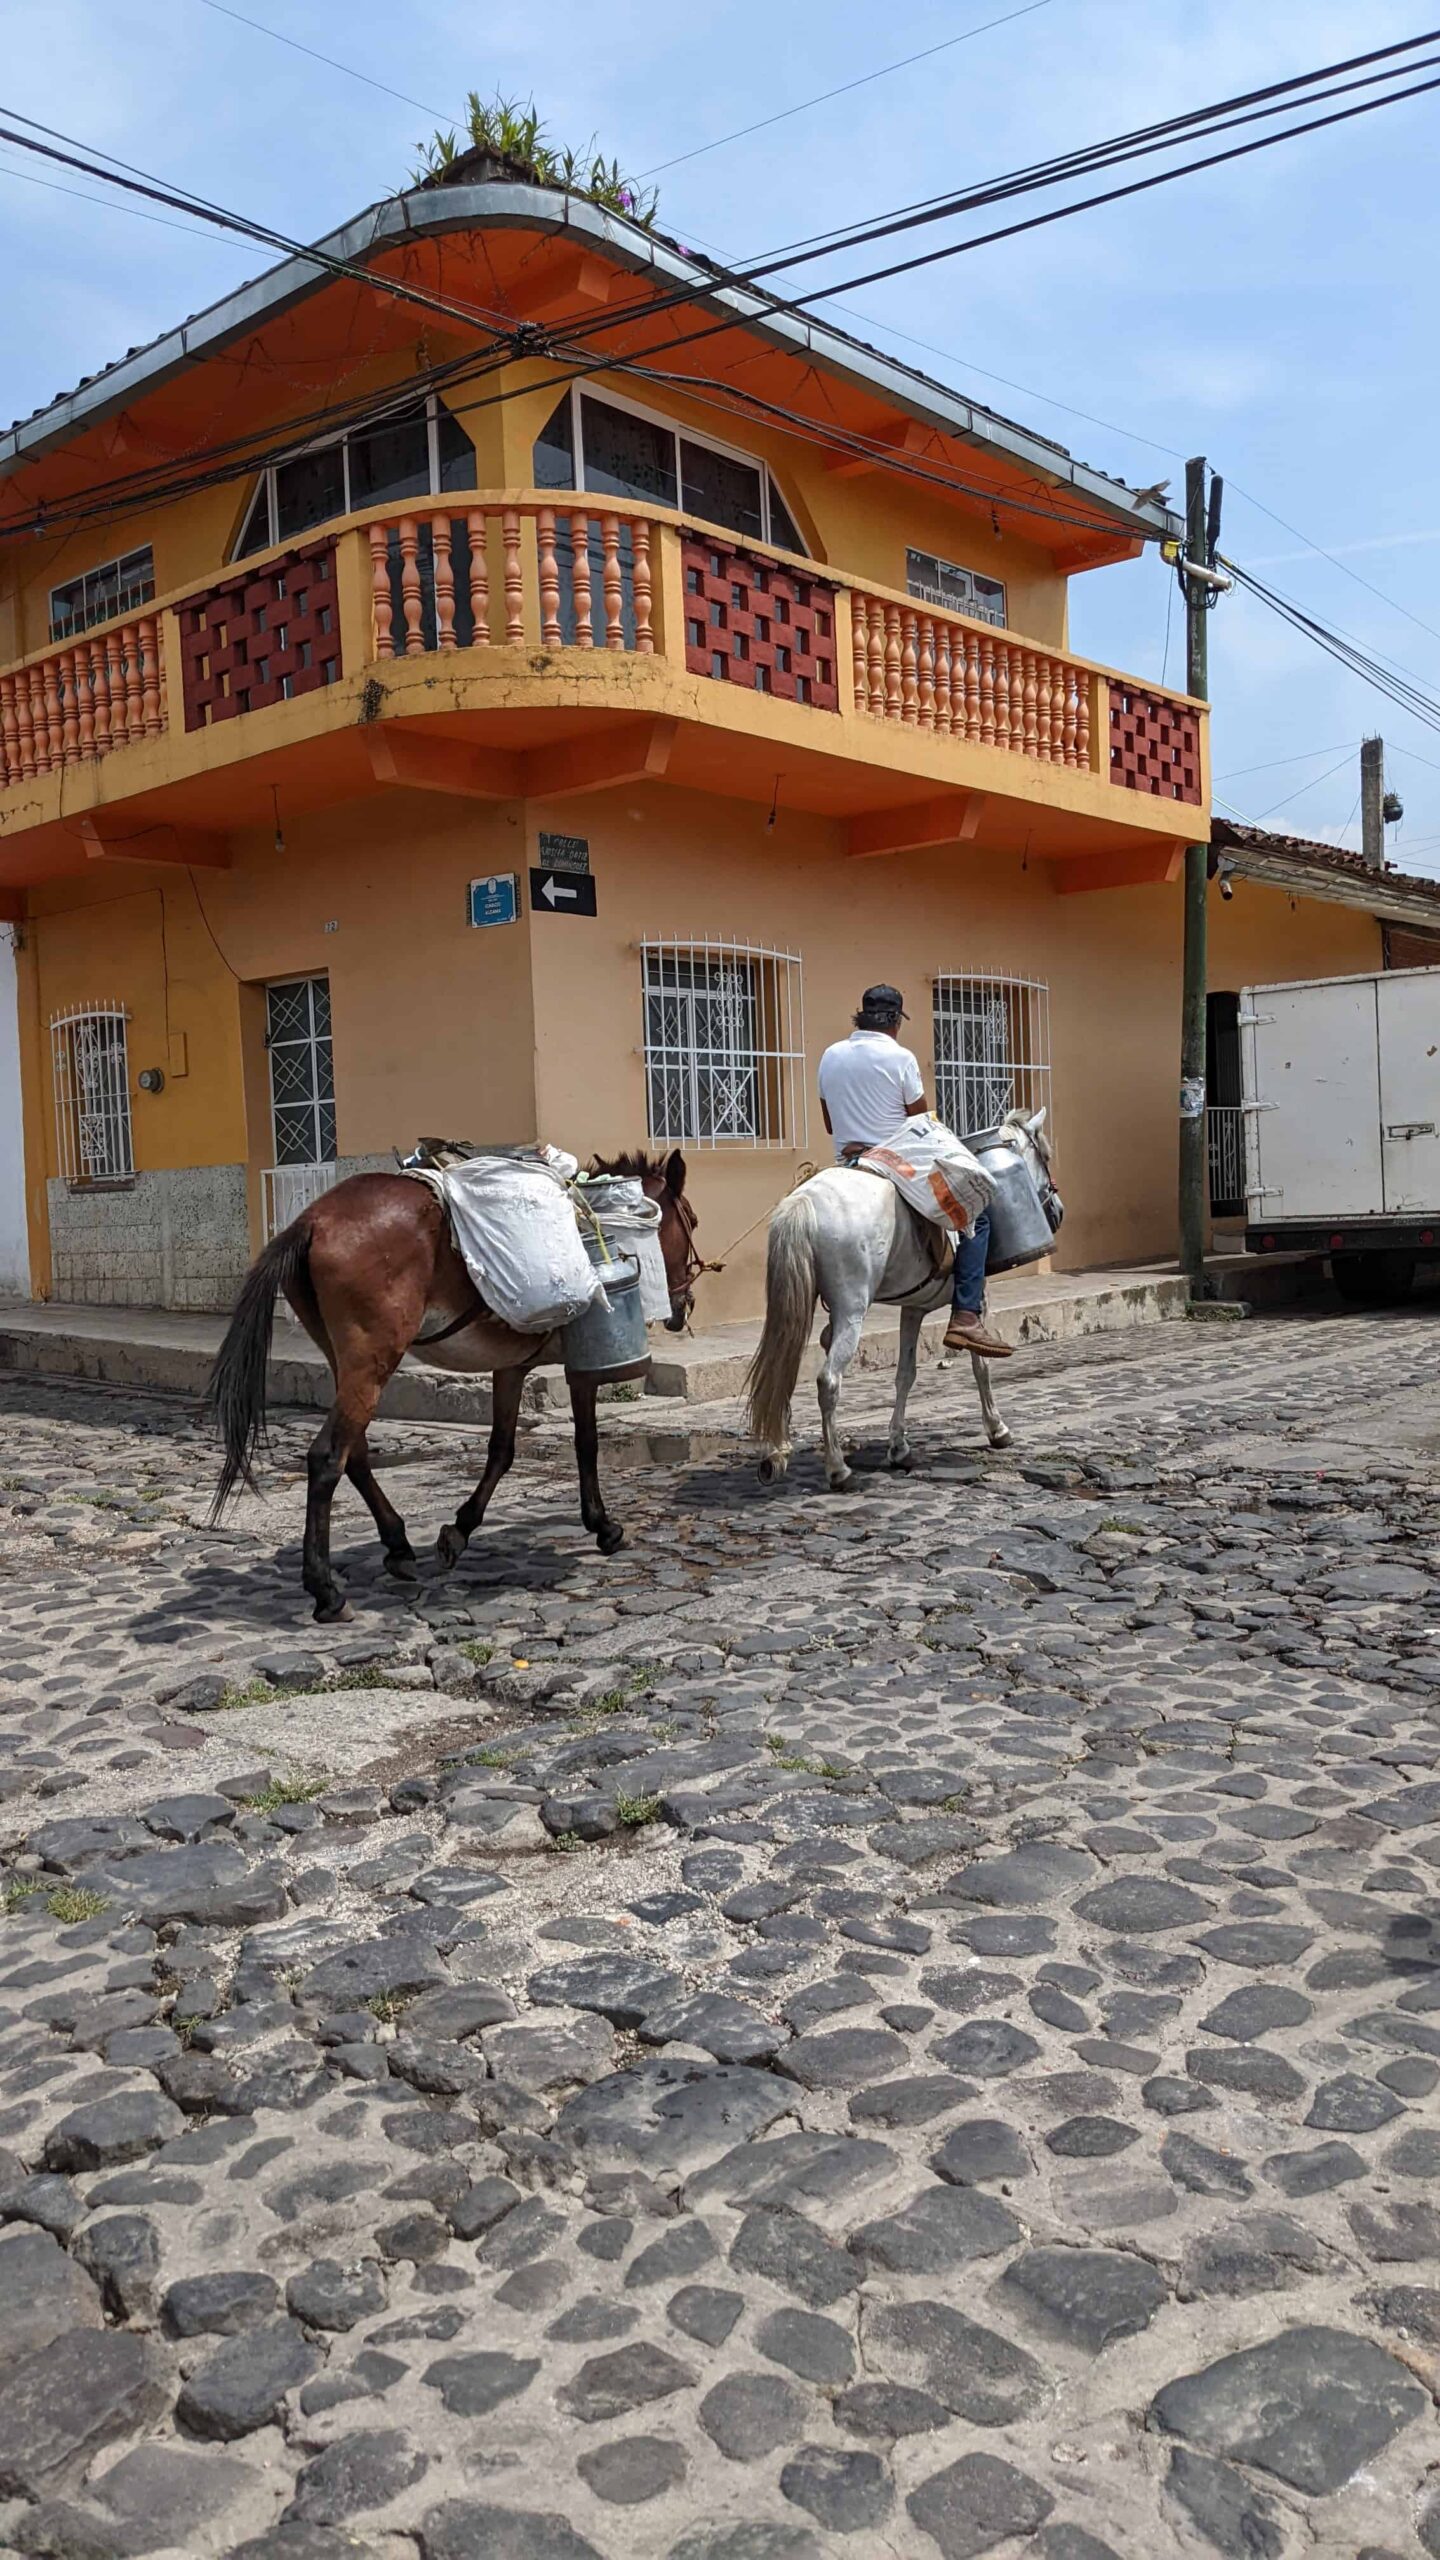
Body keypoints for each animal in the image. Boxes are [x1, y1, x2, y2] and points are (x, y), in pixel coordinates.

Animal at [204, 1157, 691, 1617]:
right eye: (691, 1222)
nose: (682, 1307)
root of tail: (313, 1220)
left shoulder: (511, 1367)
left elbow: (501, 1449)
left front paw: (458, 1531)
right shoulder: (582, 1368)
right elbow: (586, 1443)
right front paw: (603, 1526)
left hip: (346, 1362)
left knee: (353, 1453)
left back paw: (398, 1545)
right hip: (372, 1361)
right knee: (328, 1457)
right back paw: (325, 1591)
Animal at [743, 1111, 1050, 1495]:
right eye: (1046, 1156)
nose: (1057, 1206)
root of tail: (805, 1203)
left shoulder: (912, 1309)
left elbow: (905, 1374)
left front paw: (899, 1447)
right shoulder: (978, 1296)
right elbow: (980, 1364)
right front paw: (997, 1428)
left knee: (782, 1366)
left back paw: (777, 1453)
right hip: (852, 1312)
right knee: (828, 1381)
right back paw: (838, 1469)